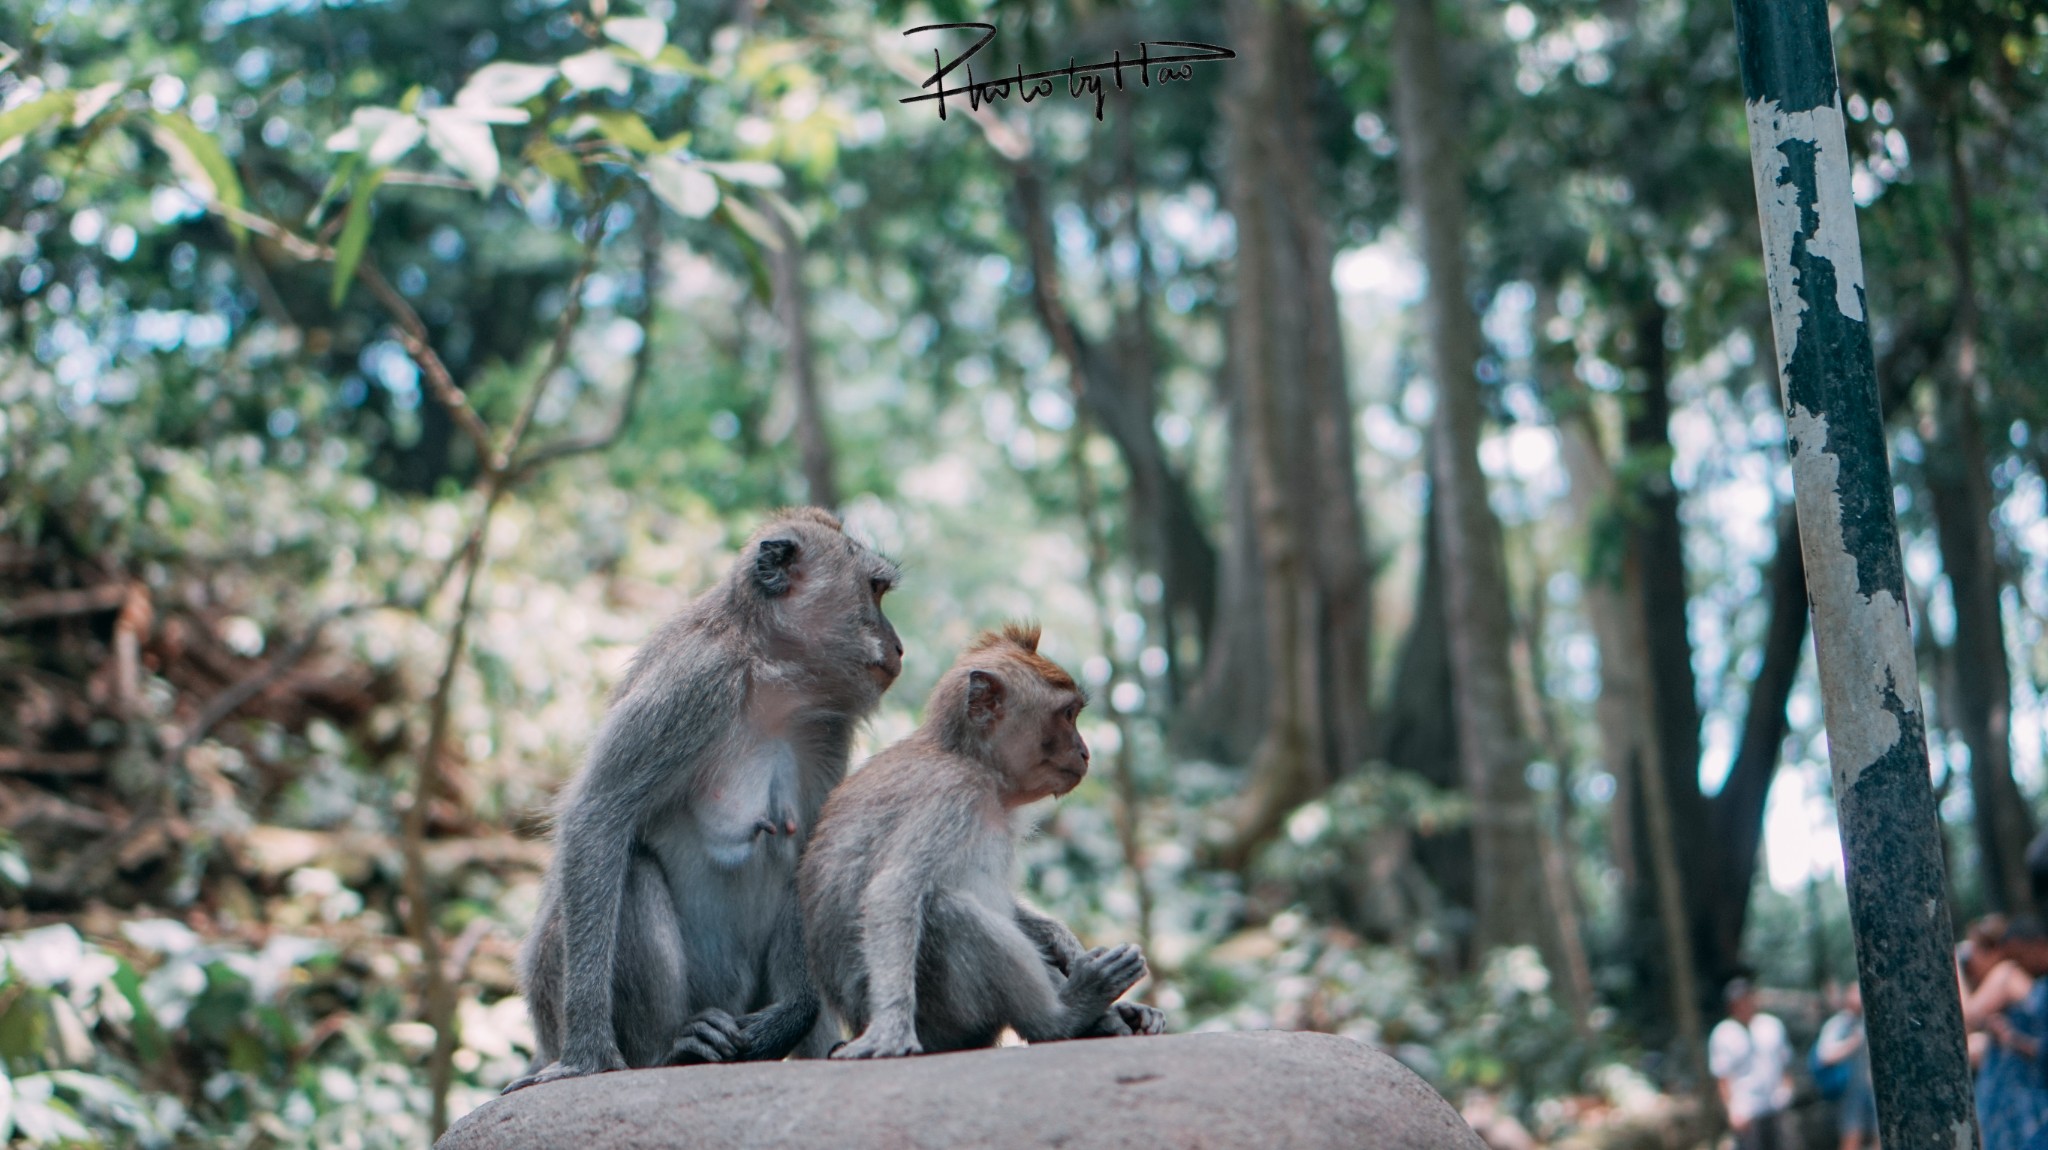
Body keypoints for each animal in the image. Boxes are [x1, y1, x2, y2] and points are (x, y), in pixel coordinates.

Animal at [507, 507, 901, 1080]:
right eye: (874, 591)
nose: (898, 645)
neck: (770, 676)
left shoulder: (827, 728)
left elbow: (811, 853)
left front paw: (791, 1016)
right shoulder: (695, 684)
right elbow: (597, 819)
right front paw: (588, 1055)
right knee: (632, 871)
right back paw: (669, 1050)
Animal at [798, 626, 1171, 1055]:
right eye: (1067, 715)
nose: (1085, 752)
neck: (972, 761)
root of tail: (856, 1021)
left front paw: (1062, 940)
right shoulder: (952, 794)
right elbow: (894, 890)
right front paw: (890, 1028)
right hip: (941, 1021)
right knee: (948, 913)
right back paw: (1064, 1016)